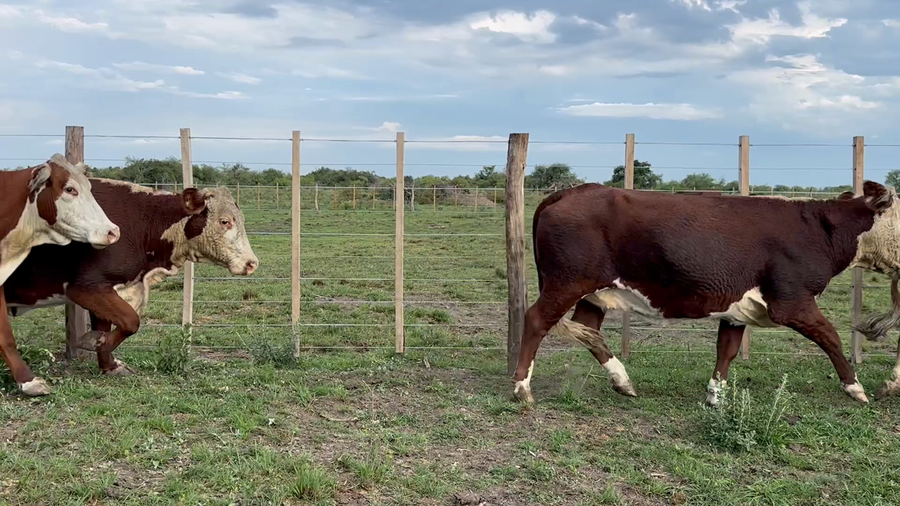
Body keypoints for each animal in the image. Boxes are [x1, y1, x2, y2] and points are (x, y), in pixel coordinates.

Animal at [2, 179, 259, 396]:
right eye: (224, 221)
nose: (251, 263)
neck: (141, 223)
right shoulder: (87, 288)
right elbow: (130, 321)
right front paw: (96, 343)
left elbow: (108, 324)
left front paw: (108, 363)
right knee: (6, 338)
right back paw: (30, 382)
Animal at [512, 181, 900, 407]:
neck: (817, 229)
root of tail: (569, 191)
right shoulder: (791, 301)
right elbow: (831, 337)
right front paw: (855, 388)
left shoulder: (737, 308)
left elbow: (726, 350)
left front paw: (716, 395)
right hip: (567, 282)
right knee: (536, 320)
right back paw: (521, 388)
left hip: (593, 291)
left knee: (588, 330)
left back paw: (623, 381)